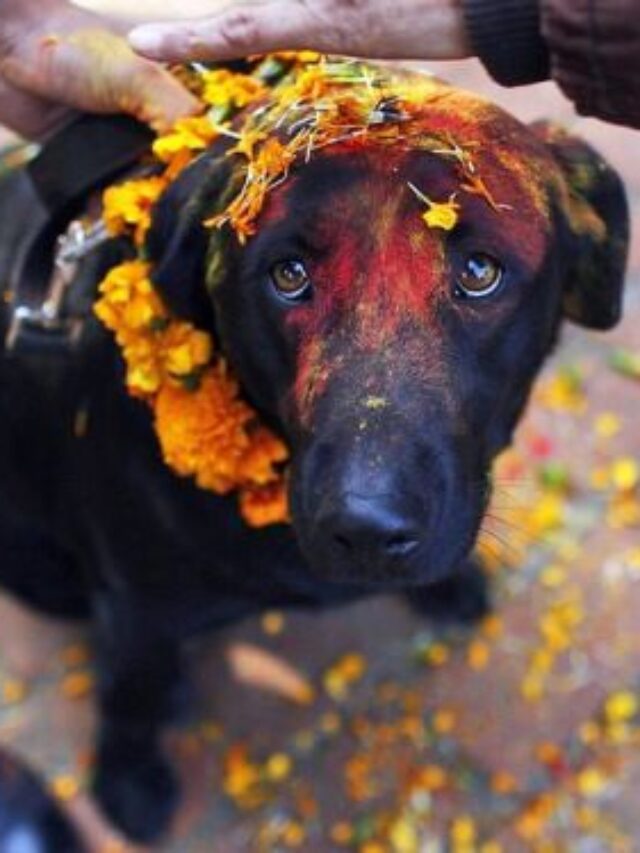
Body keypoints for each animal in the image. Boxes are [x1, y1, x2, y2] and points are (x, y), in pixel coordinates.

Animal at [0, 63, 632, 844]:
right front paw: (128, 781)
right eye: (288, 273)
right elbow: (134, 694)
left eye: (481, 271)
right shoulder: (138, 605)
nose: (365, 528)